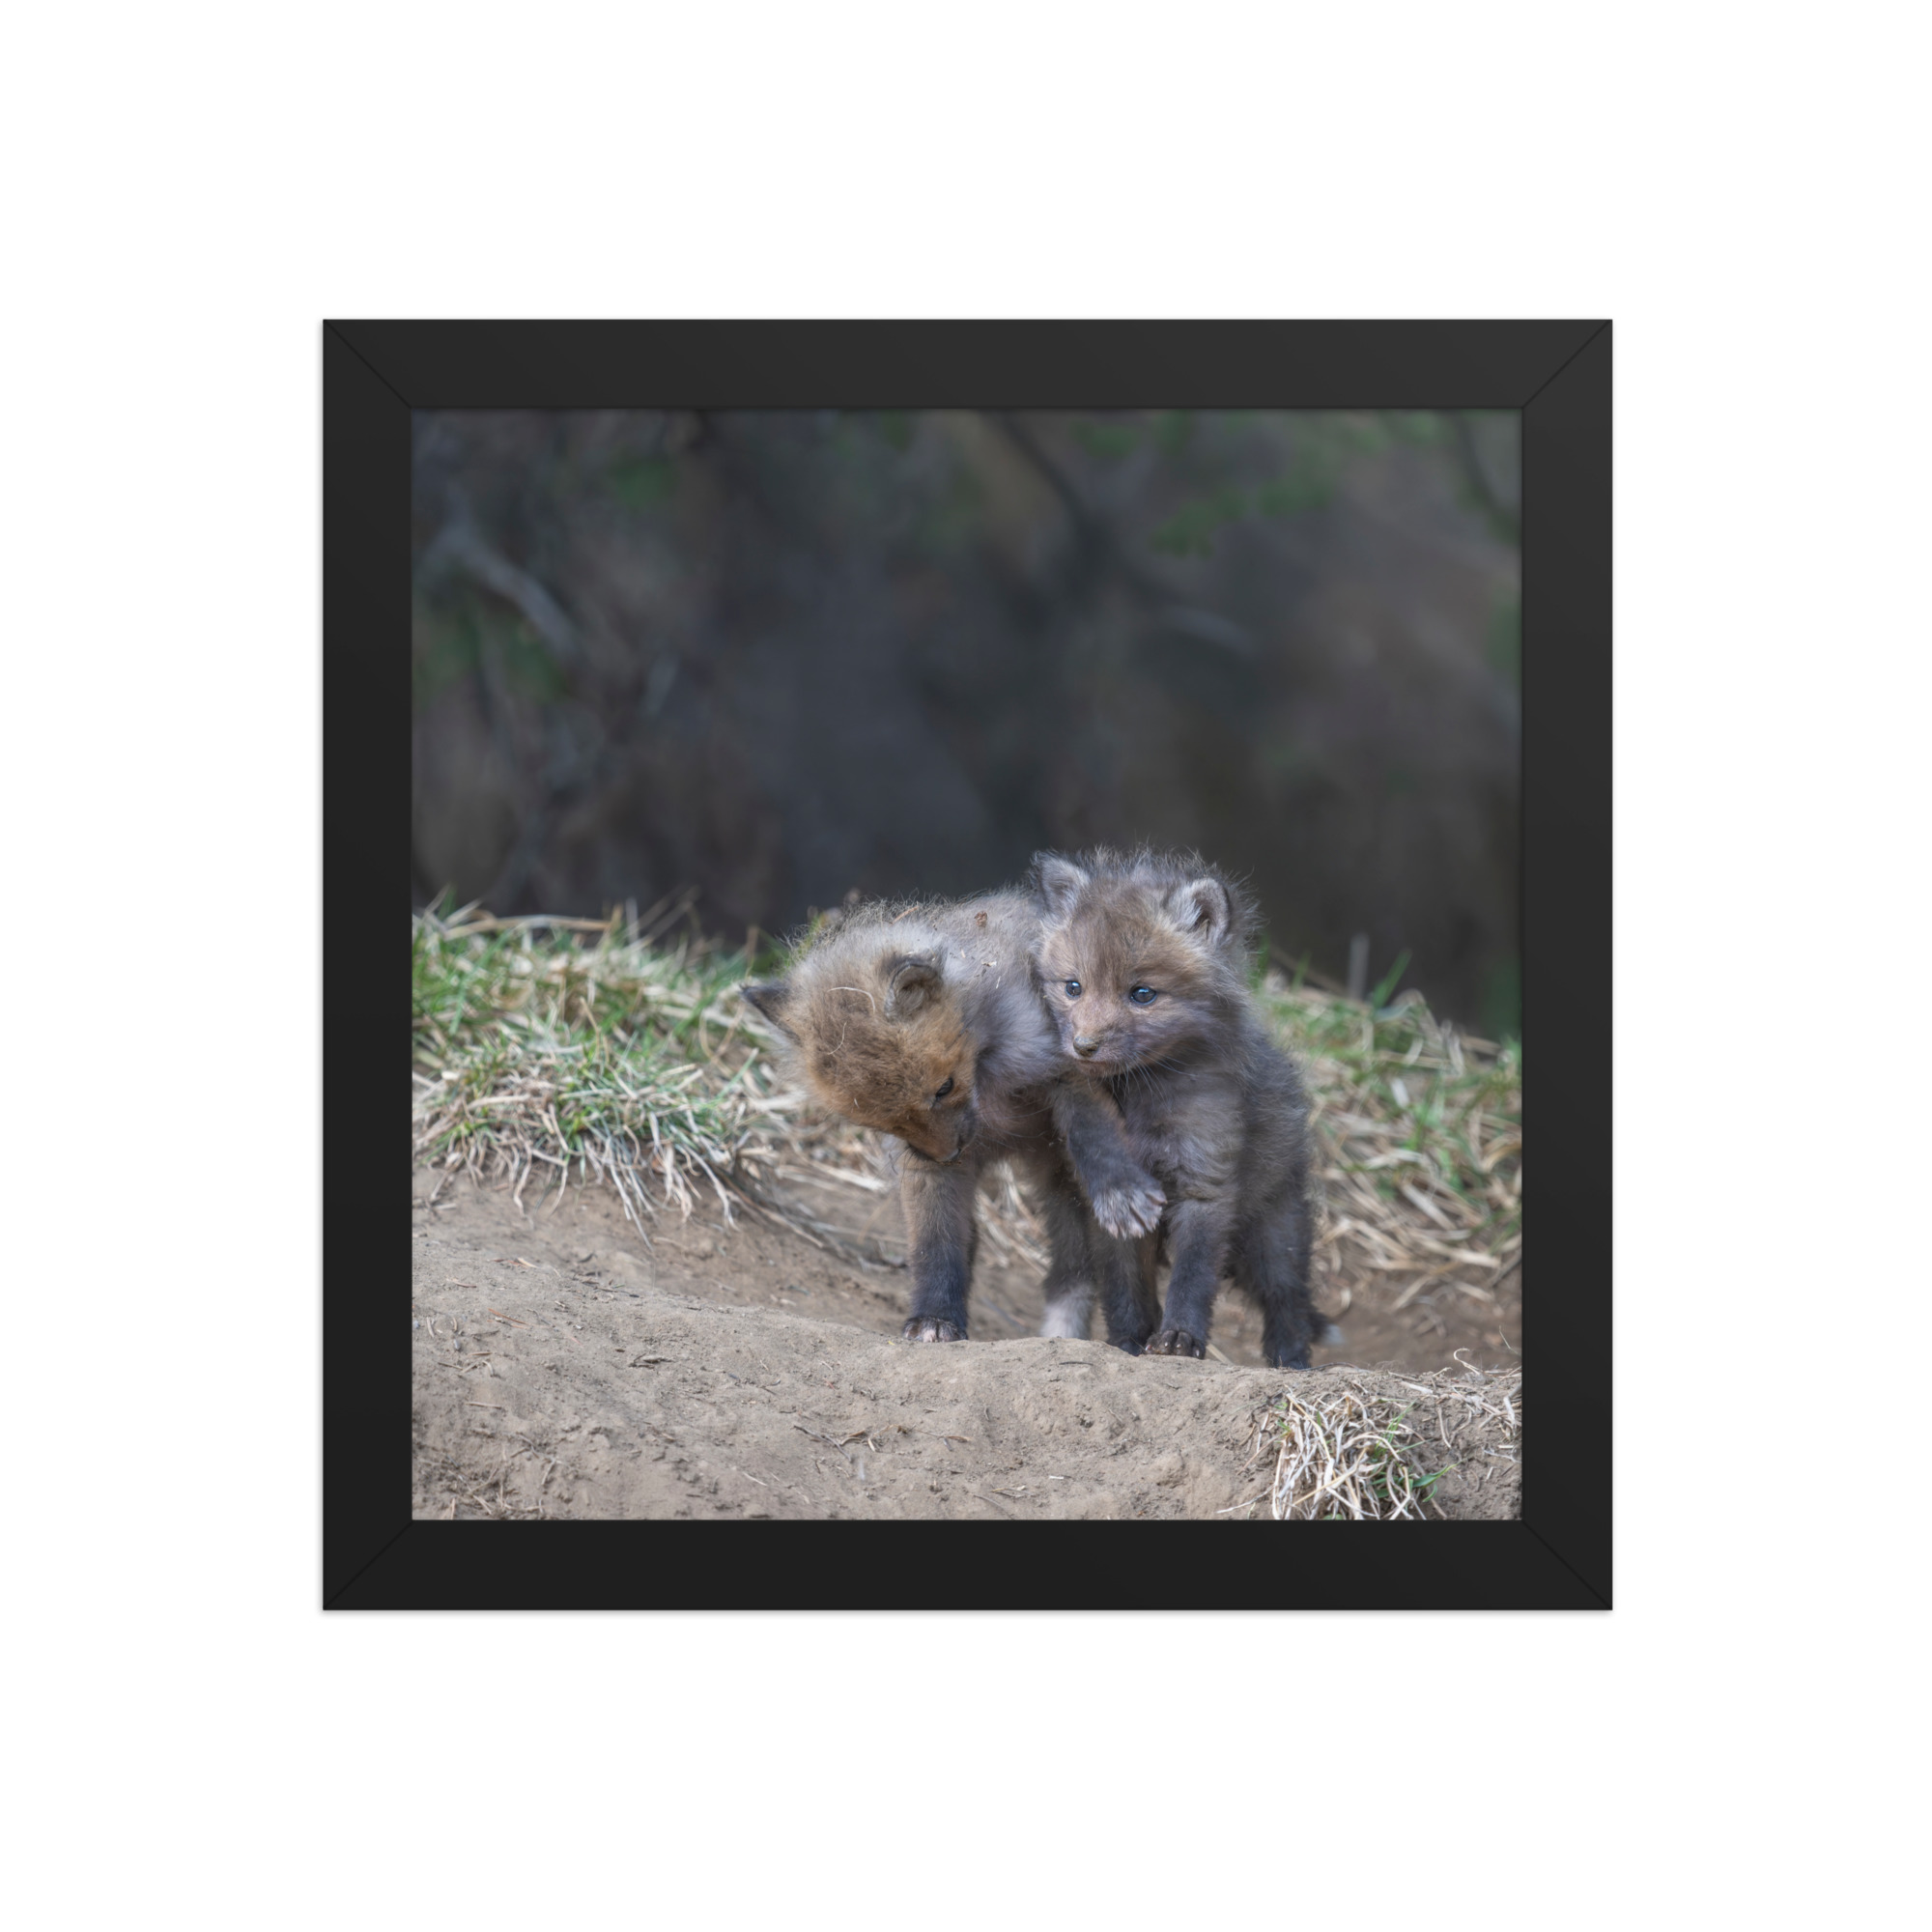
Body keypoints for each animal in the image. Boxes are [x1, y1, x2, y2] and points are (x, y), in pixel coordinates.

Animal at [740, 891, 1167, 1348]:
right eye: (882, 1122)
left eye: (944, 1088)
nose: (948, 1154)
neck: (988, 1080)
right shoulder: (920, 1164)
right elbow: (935, 1243)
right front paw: (935, 1317)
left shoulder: (1068, 1068)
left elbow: (1094, 1136)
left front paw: (1119, 1191)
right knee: (1068, 1270)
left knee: (1115, 1273)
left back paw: (1131, 1340)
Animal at [1028, 847, 1323, 1369]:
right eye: (1073, 987)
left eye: (1142, 994)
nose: (1083, 1047)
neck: (1141, 1100)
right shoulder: (1113, 1206)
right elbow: (1125, 1287)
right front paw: (1128, 1342)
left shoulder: (1205, 1182)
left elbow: (1192, 1277)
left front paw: (1180, 1339)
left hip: (1274, 1232)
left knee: (1288, 1298)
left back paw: (1291, 1362)